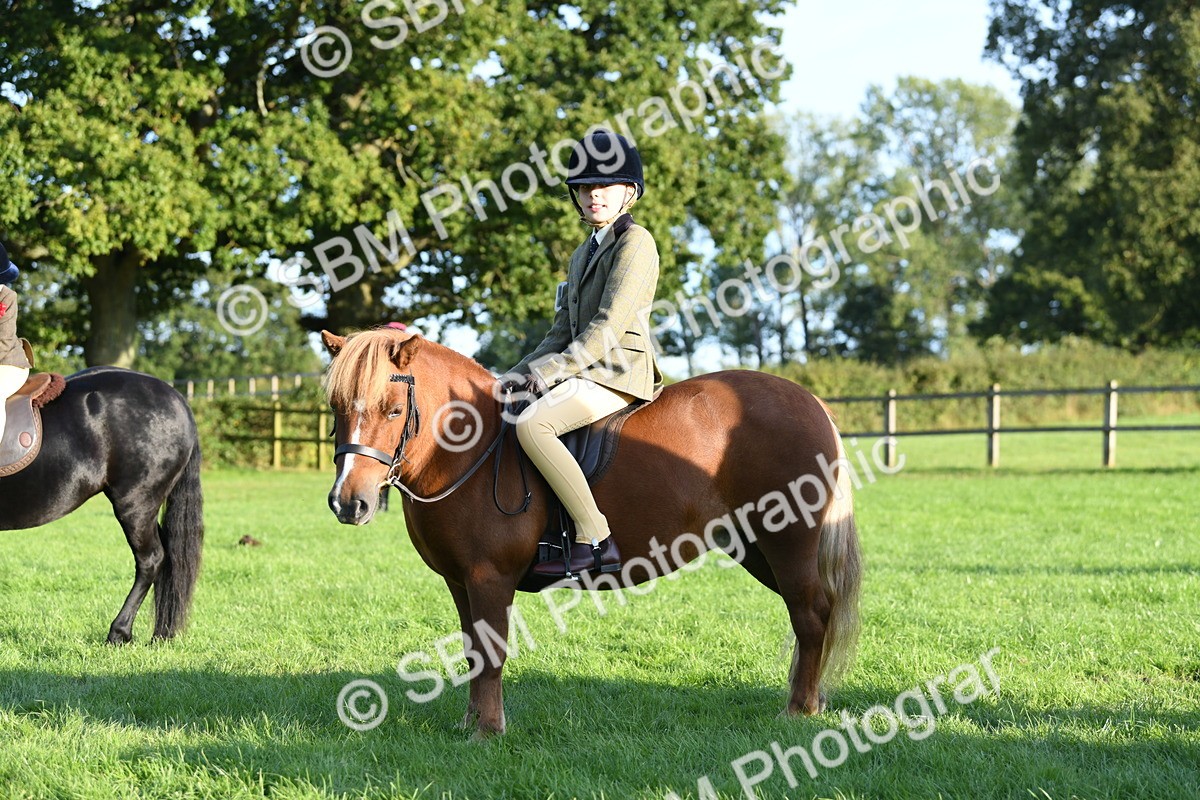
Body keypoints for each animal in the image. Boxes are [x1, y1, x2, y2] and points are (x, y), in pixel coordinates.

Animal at [321, 327, 861, 738]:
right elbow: (474, 650)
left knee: (811, 615)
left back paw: (799, 710)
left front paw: (488, 731)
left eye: (393, 409)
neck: (467, 448)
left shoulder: (489, 578)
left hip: (787, 540)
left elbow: (492, 652)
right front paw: (470, 723)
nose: (350, 502)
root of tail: (809, 400)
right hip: (754, 547)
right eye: (337, 408)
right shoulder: (461, 582)